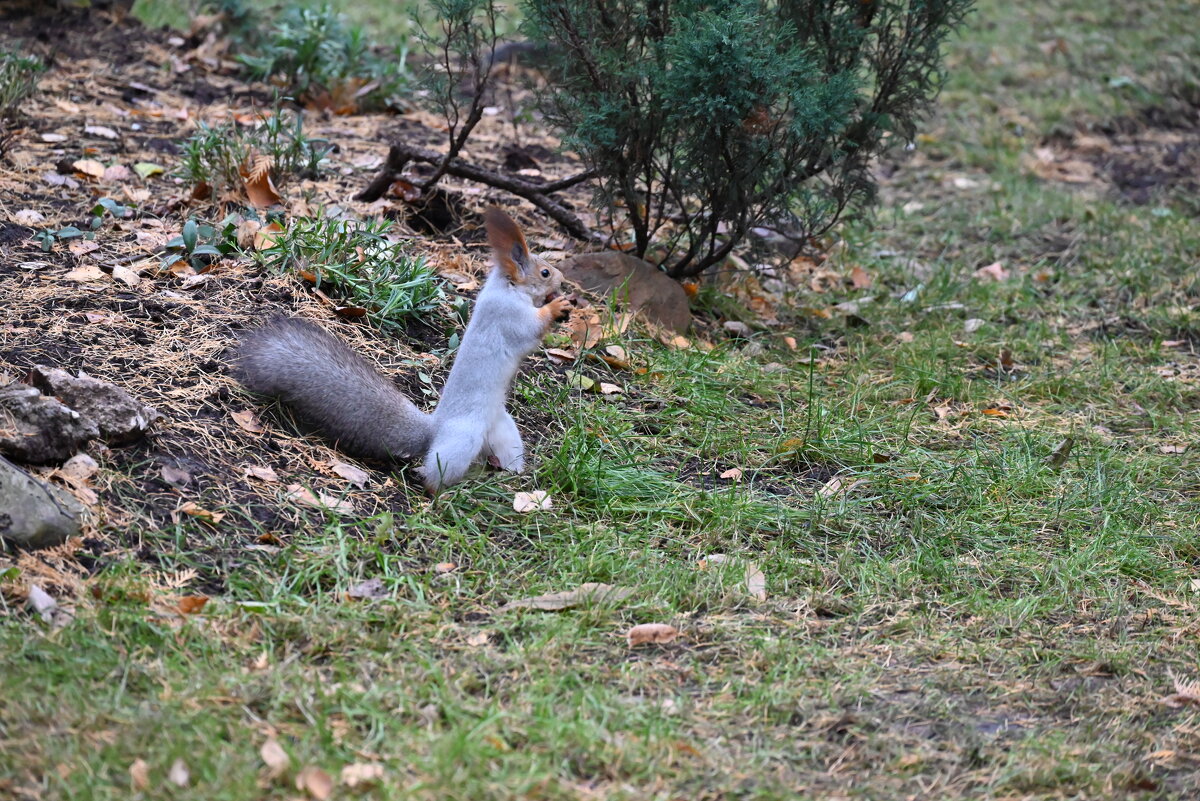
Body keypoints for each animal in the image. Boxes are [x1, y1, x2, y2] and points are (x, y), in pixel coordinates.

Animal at [236, 206, 573, 491]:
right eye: (544, 273)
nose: (563, 280)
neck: (508, 289)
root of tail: (433, 430)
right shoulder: (506, 315)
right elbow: (528, 331)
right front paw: (557, 307)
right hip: (462, 440)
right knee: (436, 472)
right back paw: (438, 492)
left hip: (503, 431)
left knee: (504, 453)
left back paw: (512, 473)